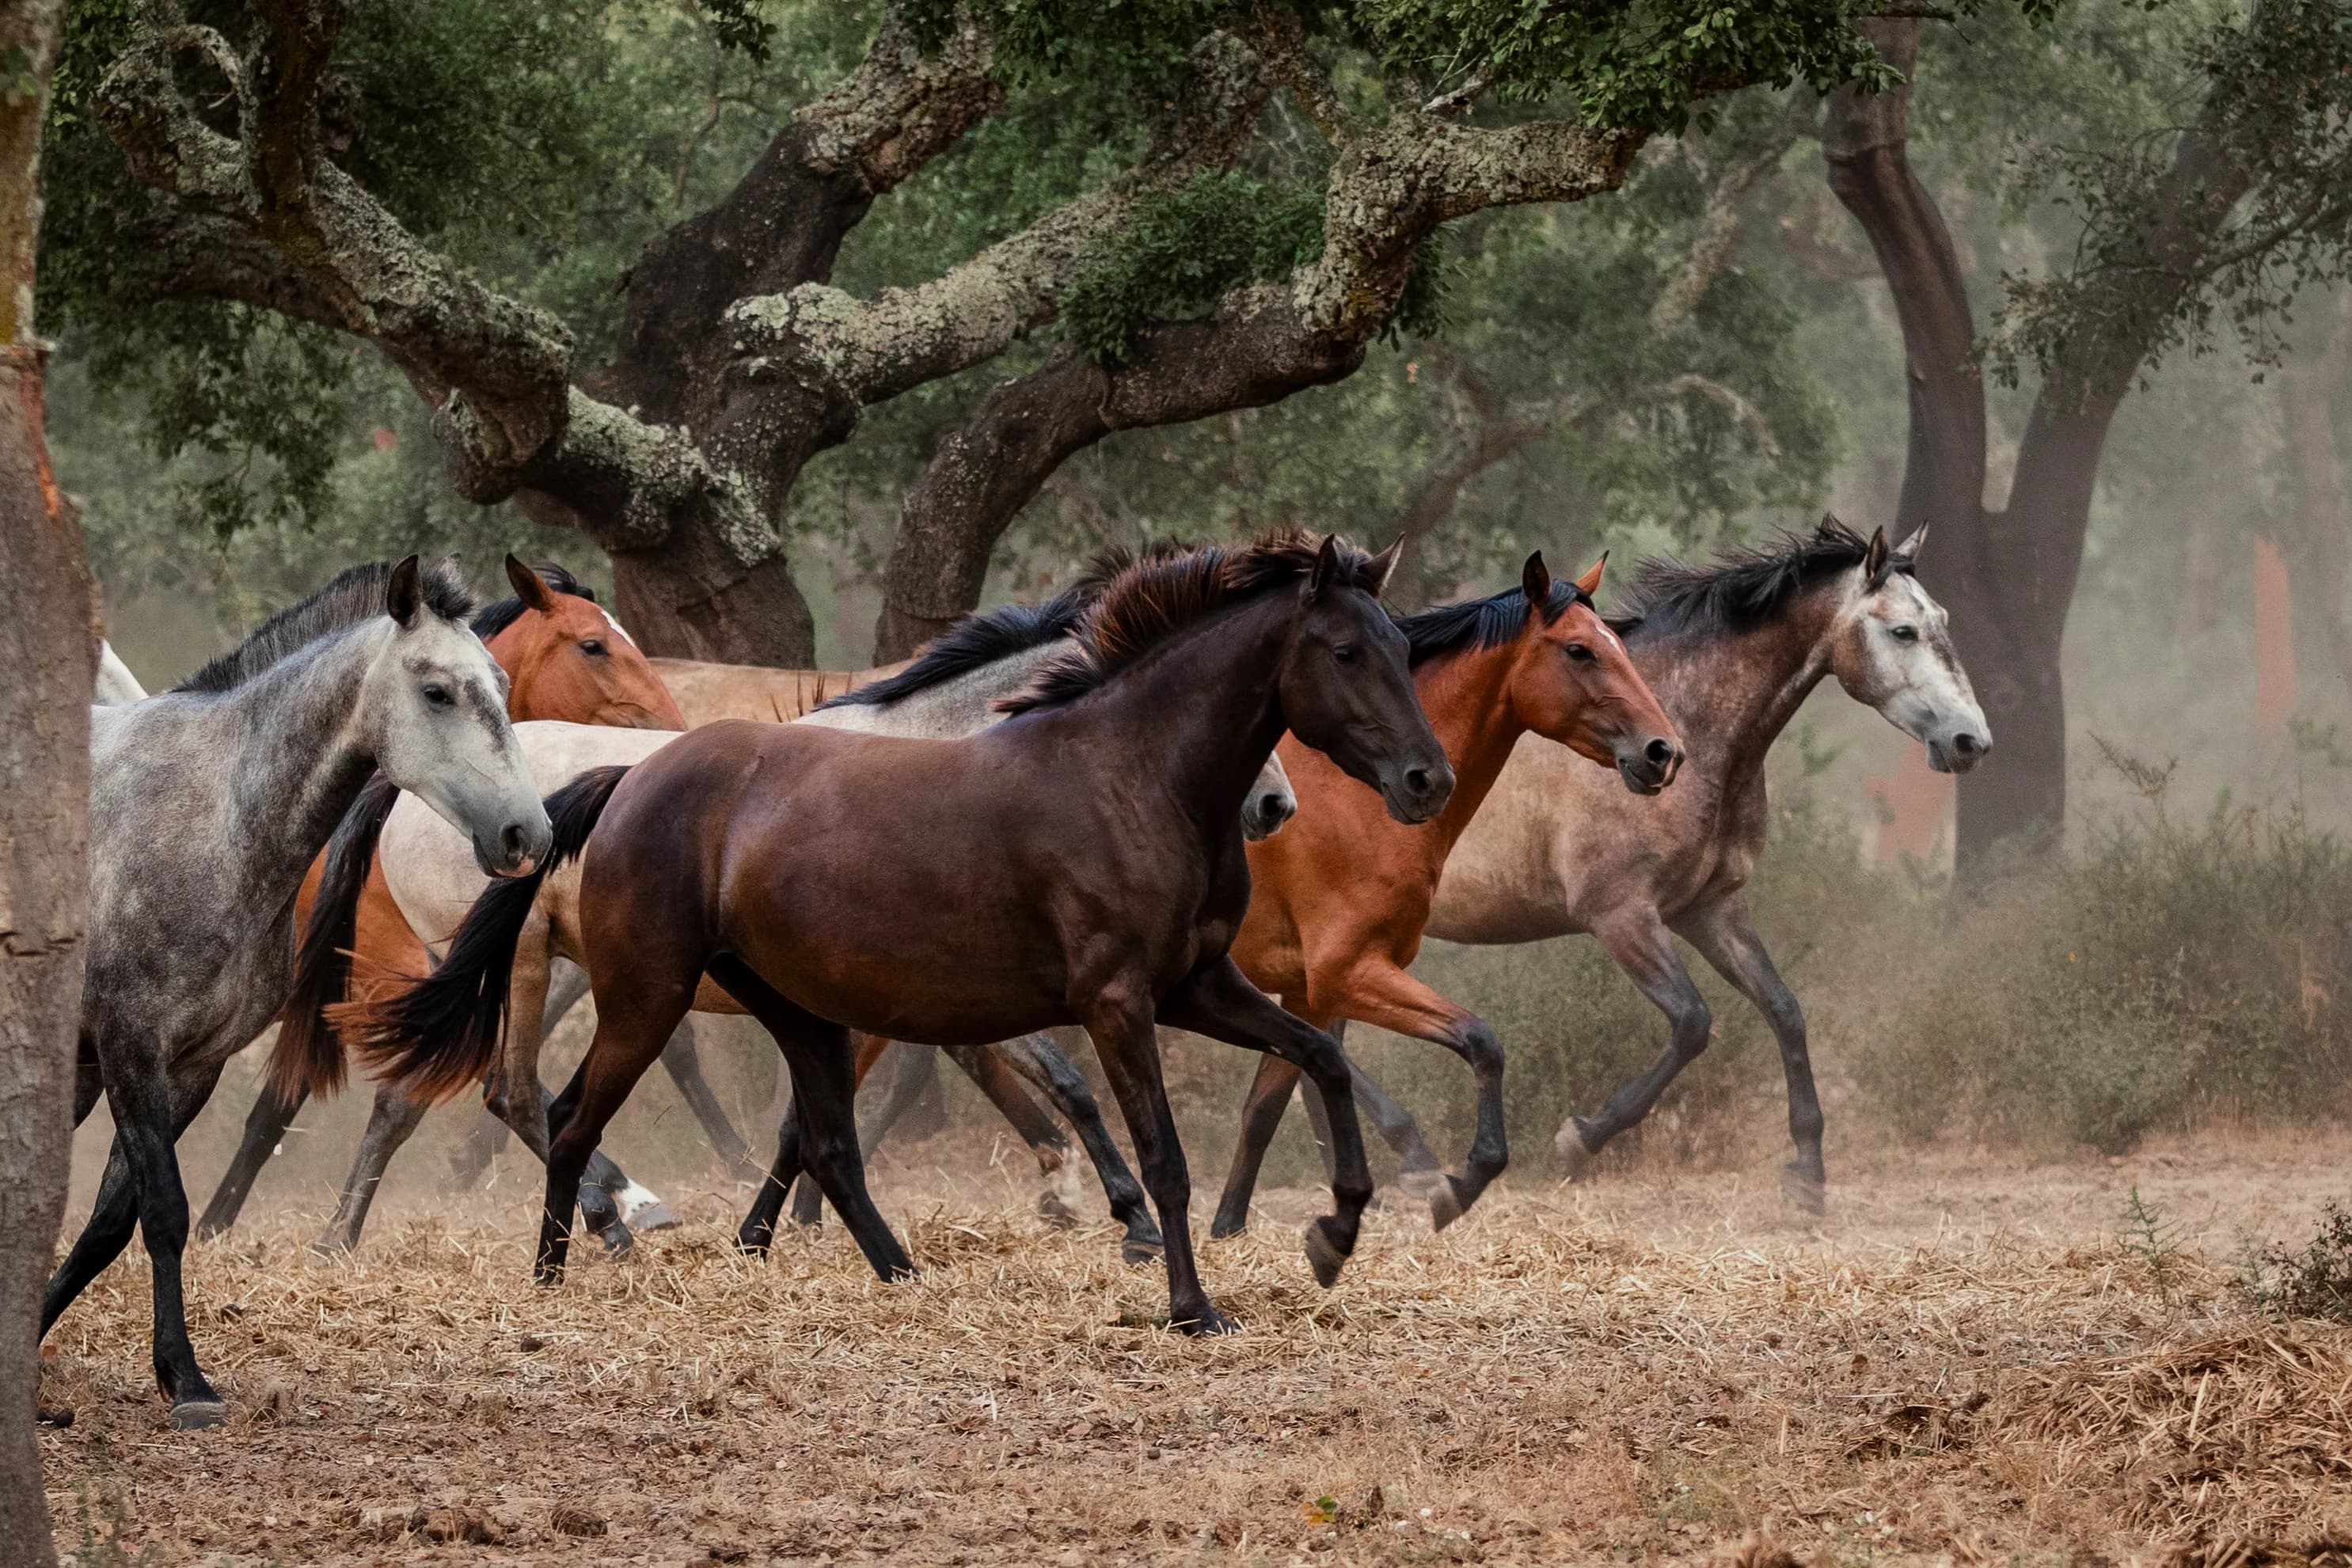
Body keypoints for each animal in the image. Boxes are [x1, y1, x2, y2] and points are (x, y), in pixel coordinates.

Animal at [44, 557, 551, 1429]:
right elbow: (165, 1210)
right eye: (436, 691)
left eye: (501, 682)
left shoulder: (189, 1064)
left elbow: (112, 1220)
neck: (214, 817)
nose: (528, 835)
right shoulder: (131, 1048)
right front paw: (189, 1384)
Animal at [341, 532, 1452, 1333]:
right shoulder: (1117, 1001)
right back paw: (560, 1266)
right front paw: (1189, 1304)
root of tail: (627, 781)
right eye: (1344, 651)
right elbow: (1159, 1151)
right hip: (634, 991)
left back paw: (899, 1270)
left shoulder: (1194, 984)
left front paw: (1335, 1230)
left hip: (787, 1009)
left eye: (1403, 649)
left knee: (824, 1143)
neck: (1129, 774)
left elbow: (1318, 1056)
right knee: (556, 1110)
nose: (1424, 780)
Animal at [1204, 551, 1683, 1237]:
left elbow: (1263, 1110)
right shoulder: (1349, 972)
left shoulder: (1310, 992)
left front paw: (1226, 1231)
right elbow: (1482, 1041)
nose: (1663, 750)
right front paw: (1456, 1185)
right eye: (1579, 650)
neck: (1361, 796)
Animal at [1342, 520, 1988, 1214]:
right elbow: (1692, 1022)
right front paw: (1579, 1140)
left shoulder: (1709, 906)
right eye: (1903, 631)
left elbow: (1783, 1009)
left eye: (1942, 620)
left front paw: (1807, 1176)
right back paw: (1414, 1157)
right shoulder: (1621, 914)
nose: (1970, 741)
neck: (1683, 731)